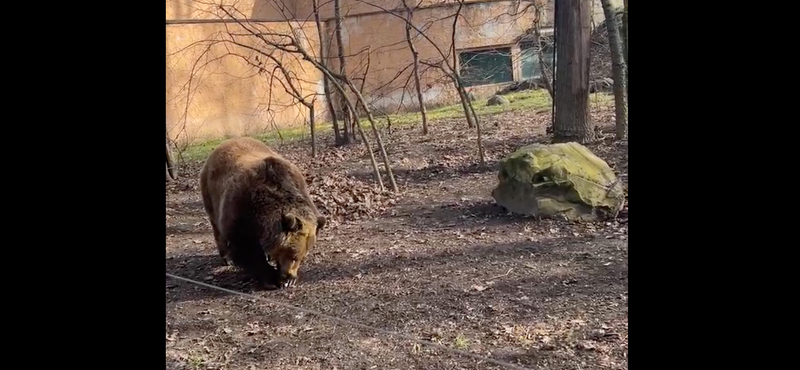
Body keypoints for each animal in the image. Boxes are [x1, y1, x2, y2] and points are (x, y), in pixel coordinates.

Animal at [199, 137, 324, 288]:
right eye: (293, 255)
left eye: (302, 257)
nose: (289, 275)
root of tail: (223, 144)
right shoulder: (240, 211)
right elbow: (246, 249)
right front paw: (272, 278)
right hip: (211, 194)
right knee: (216, 227)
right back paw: (226, 258)